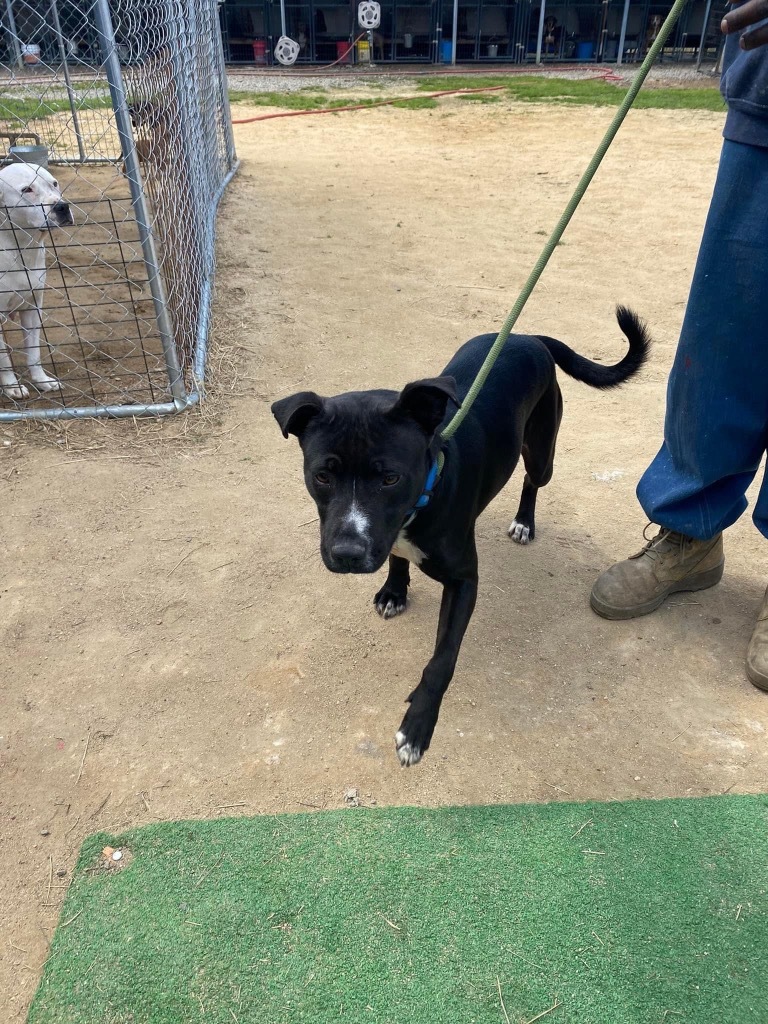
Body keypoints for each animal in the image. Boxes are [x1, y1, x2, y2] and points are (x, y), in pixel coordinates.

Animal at [0, 161, 73, 397]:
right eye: (26, 190)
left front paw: (41, 381)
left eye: (54, 183)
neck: (20, 247)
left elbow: (34, 353)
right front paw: (12, 385)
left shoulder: (32, 306)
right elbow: (4, 358)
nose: (61, 207)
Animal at [272, 307, 651, 765]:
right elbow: (397, 557)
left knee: (533, 479)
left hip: (541, 452)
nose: (347, 553)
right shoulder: (391, 538)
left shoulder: (464, 580)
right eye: (322, 476)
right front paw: (394, 591)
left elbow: (441, 659)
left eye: (390, 478)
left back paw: (524, 522)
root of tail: (528, 337)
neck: (424, 494)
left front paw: (417, 726)